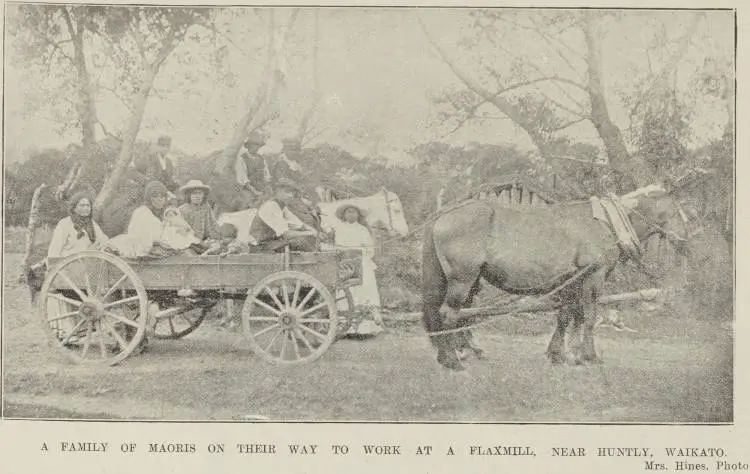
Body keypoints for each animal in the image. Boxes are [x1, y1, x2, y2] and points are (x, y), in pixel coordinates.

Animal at [420, 183, 692, 372]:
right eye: (677, 211)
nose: (687, 241)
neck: (606, 223)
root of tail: (442, 216)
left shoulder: (572, 282)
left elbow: (567, 316)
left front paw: (561, 354)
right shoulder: (593, 278)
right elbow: (588, 317)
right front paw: (589, 356)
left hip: (469, 280)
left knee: (458, 314)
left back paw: (462, 352)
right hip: (462, 280)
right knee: (448, 314)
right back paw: (452, 360)